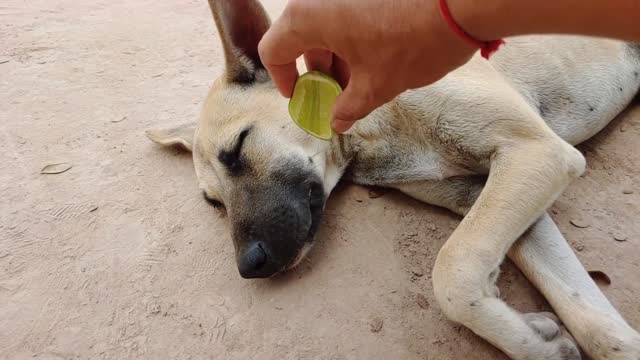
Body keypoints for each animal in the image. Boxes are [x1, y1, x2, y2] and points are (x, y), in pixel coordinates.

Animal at [148, 0, 640, 360]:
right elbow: (587, 311)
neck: (373, 136)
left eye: (237, 149)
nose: (249, 265)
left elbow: (452, 272)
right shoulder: (494, 194)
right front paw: (536, 339)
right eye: (214, 203)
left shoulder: (536, 153)